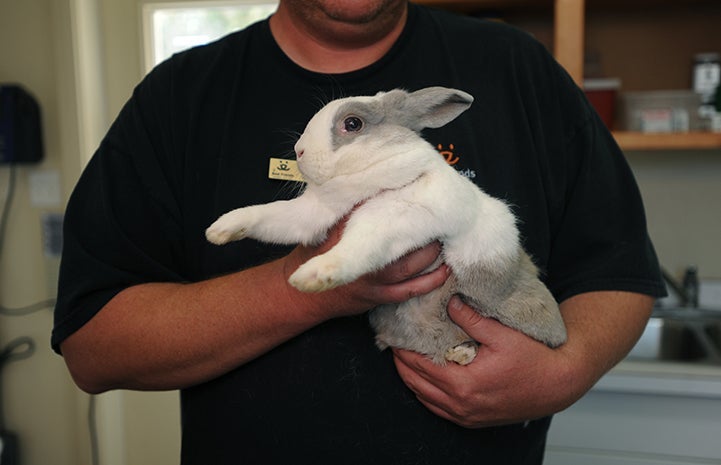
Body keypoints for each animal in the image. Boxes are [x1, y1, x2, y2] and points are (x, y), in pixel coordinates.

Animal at [206, 87, 567, 365]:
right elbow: (272, 215)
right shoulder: (313, 213)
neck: (365, 179)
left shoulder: (395, 215)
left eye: (352, 123)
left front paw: (313, 275)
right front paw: (220, 229)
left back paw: (464, 353)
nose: (299, 151)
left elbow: (359, 244)